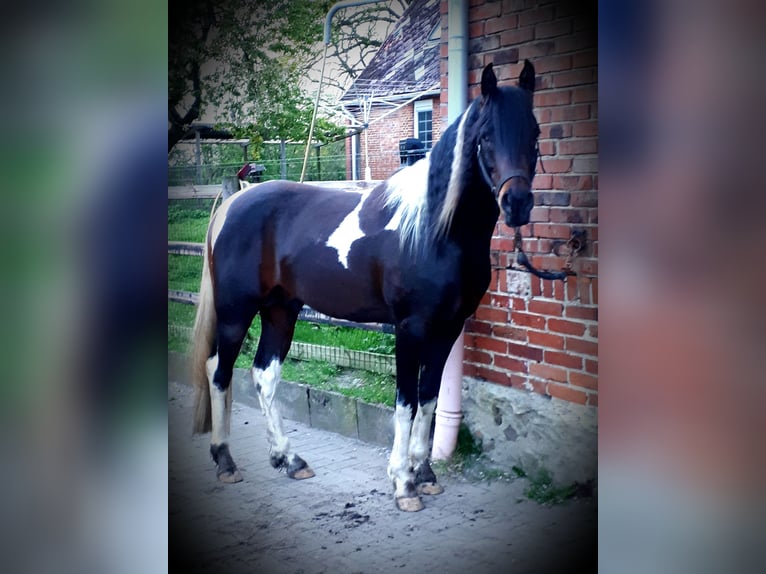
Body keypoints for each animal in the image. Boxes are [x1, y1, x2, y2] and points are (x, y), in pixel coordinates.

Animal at [191, 61, 540, 512]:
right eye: (485, 137)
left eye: (535, 133)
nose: (517, 203)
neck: (433, 230)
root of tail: (234, 203)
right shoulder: (410, 328)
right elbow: (406, 402)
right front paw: (403, 484)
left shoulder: (447, 329)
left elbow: (429, 397)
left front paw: (425, 474)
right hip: (236, 312)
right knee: (218, 371)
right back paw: (226, 462)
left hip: (280, 311)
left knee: (265, 374)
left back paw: (289, 459)